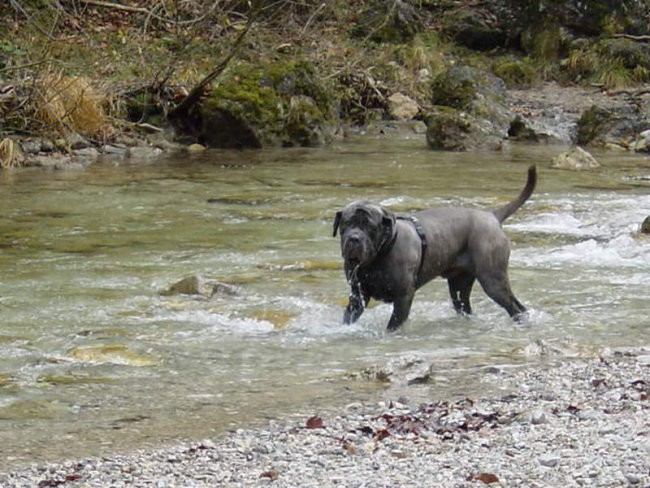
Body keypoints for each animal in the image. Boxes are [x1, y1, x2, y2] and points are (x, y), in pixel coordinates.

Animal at [332, 166, 536, 330]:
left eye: (370, 226)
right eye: (346, 223)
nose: (354, 238)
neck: (377, 258)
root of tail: (492, 216)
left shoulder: (403, 296)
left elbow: (393, 325)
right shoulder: (357, 295)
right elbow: (349, 317)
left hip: (492, 280)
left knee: (516, 307)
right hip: (459, 286)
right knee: (466, 306)